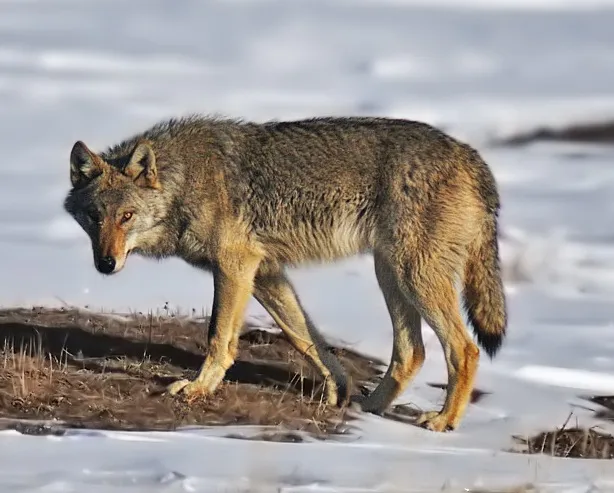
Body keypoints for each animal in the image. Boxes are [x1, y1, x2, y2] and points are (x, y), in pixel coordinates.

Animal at [62, 115, 508, 430]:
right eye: (94, 218)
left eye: (126, 216)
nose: (105, 264)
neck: (185, 180)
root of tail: (473, 157)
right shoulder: (264, 272)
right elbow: (306, 340)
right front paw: (339, 391)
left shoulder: (235, 264)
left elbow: (218, 336)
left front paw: (198, 389)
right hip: (390, 275)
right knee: (411, 352)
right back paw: (368, 409)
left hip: (411, 275)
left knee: (464, 349)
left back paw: (443, 421)